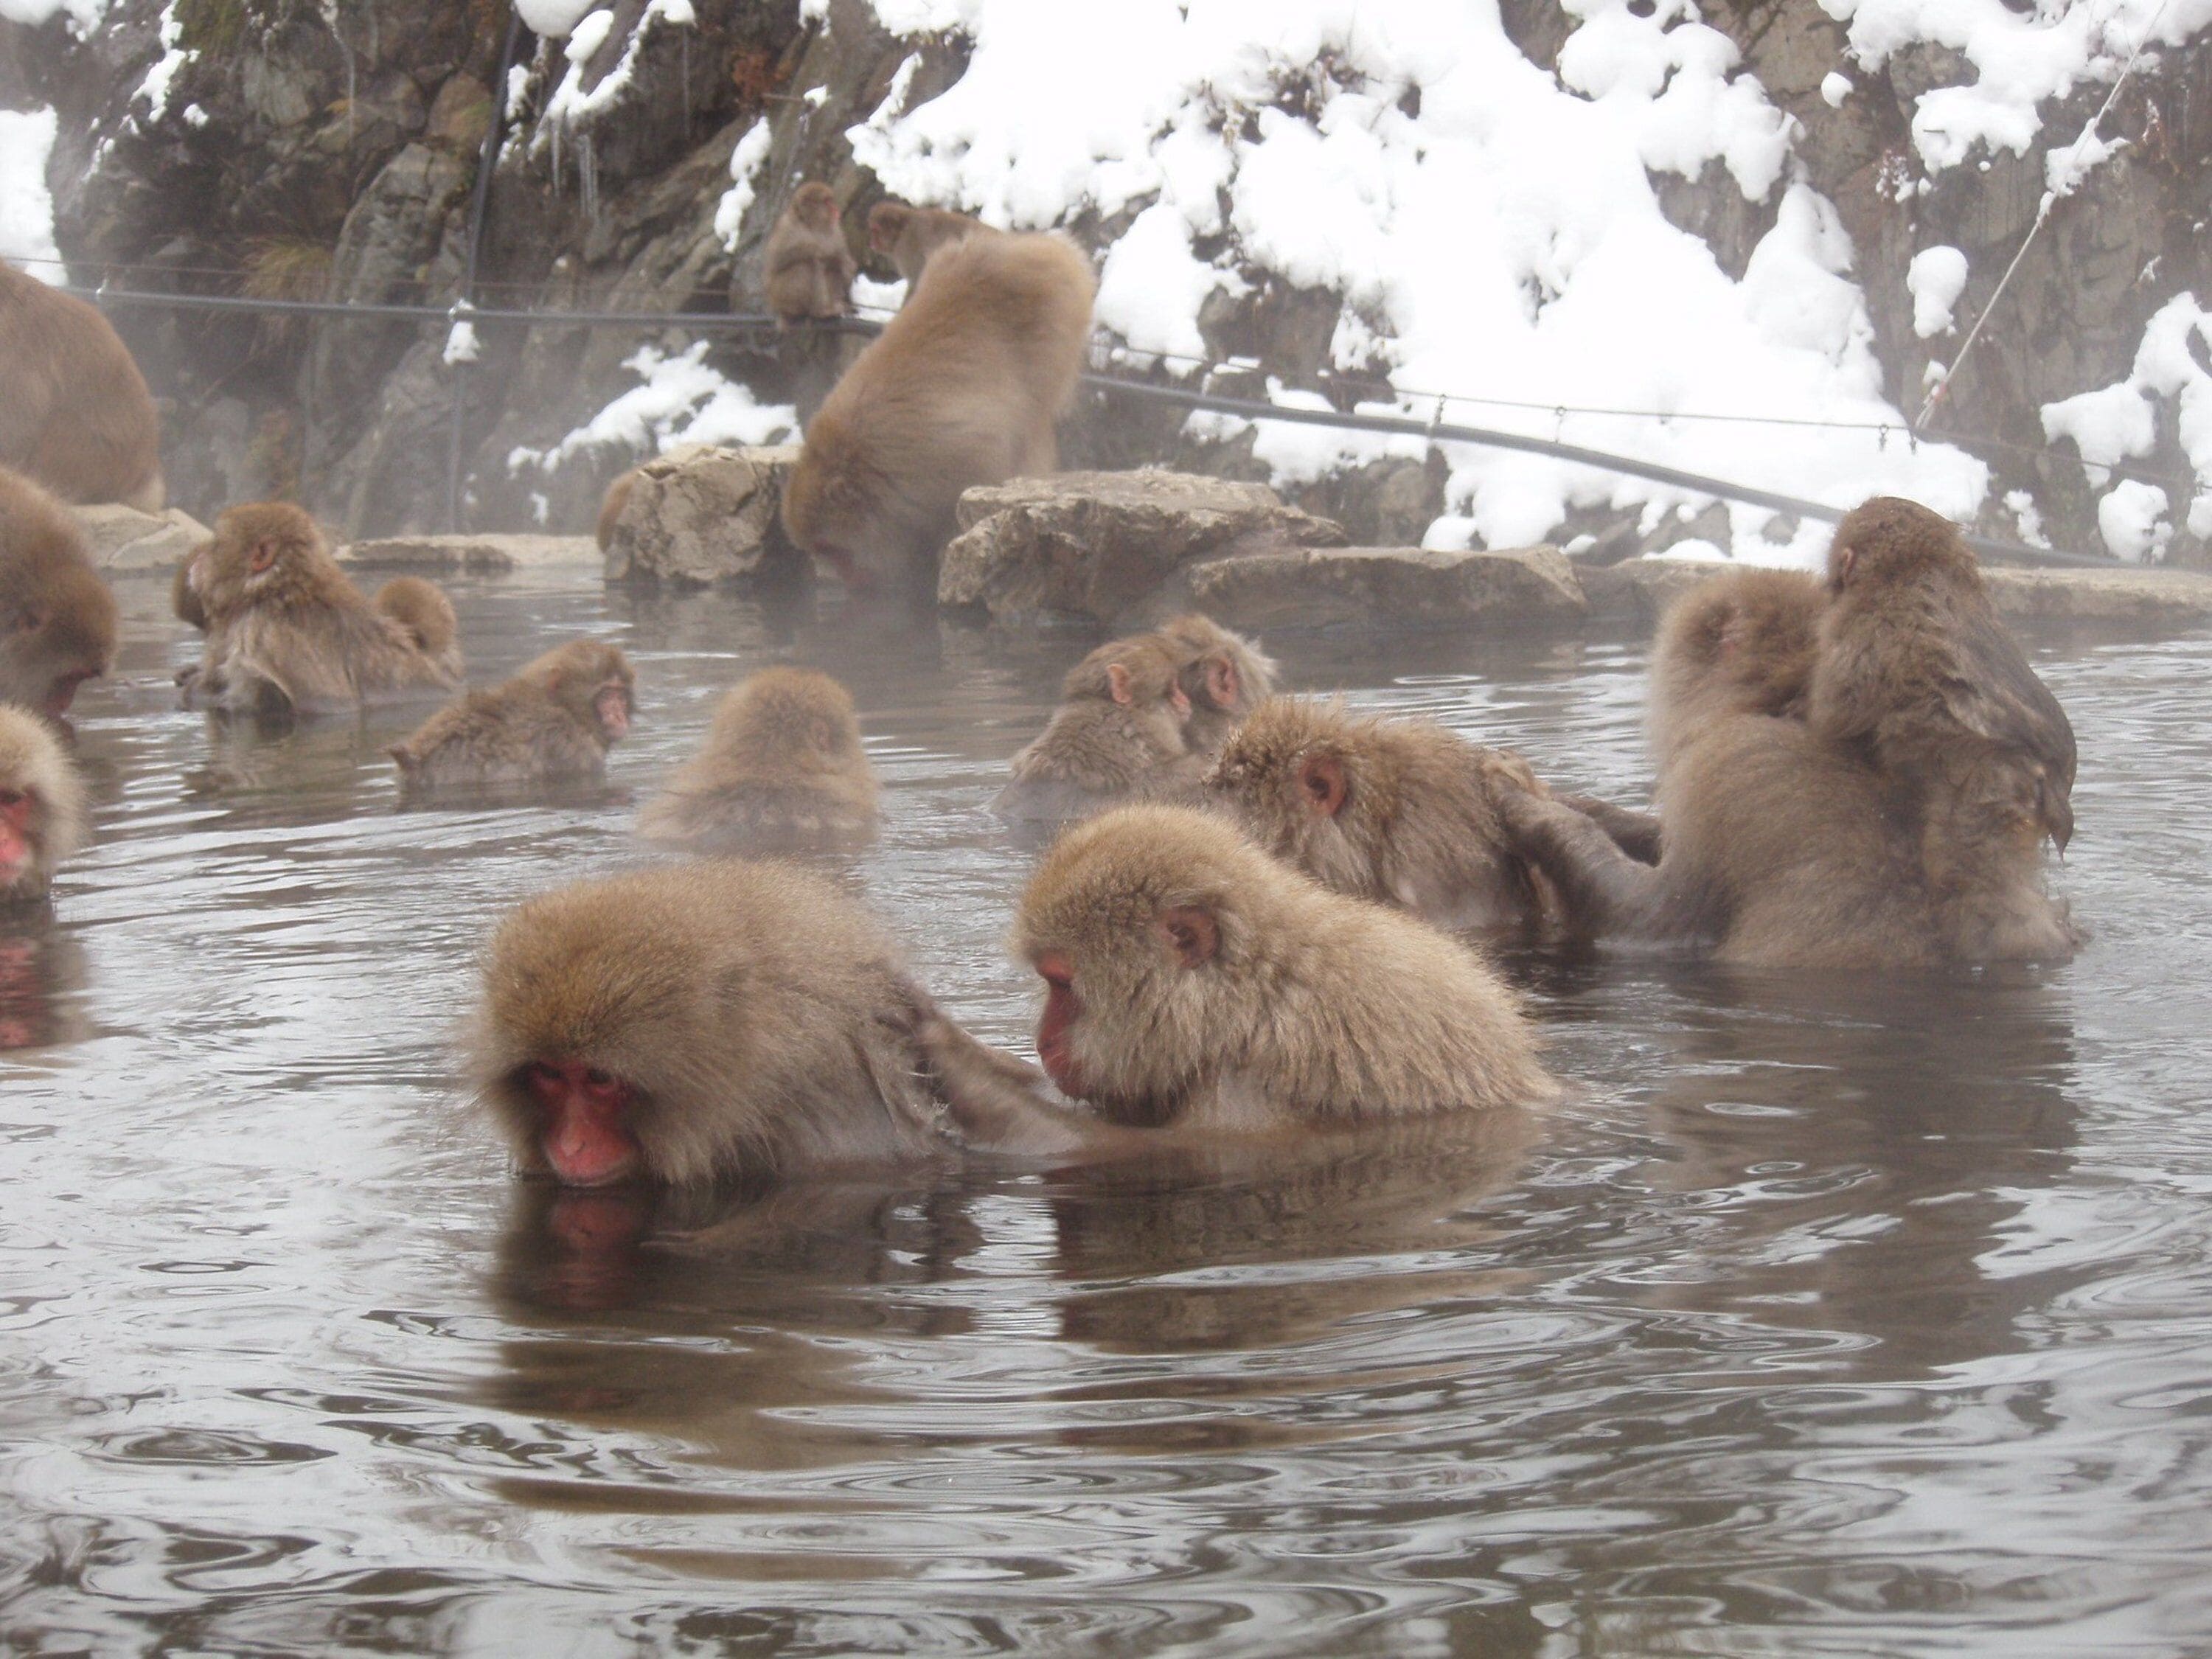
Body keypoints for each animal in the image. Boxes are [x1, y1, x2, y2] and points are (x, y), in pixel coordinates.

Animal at [391, 639, 635, 794]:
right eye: (606, 695)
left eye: (620, 694)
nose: (618, 715)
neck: (564, 708)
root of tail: (416, 761)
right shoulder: (574, 748)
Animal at [764, 182, 858, 326]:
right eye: (826, 201)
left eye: (831, 200)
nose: (835, 209)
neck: (812, 225)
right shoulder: (787, 228)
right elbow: (775, 262)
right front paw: (814, 249)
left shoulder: (836, 231)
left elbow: (842, 262)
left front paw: (847, 266)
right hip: (780, 297)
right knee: (806, 265)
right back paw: (816, 312)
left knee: (832, 269)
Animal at [781, 231, 1095, 593]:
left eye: (832, 549)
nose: (846, 577)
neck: (860, 461)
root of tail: (1040, 246)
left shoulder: (946, 457)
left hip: (1053, 340)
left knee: (1032, 423)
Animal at [865, 201, 992, 285]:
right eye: (872, 230)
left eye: (875, 230)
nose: (871, 242)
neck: (902, 230)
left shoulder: (906, 249)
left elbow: (916, 278)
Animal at [1807, 496, 2080, 962]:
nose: (1831, 582)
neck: (1914, 569)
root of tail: (2049, 780)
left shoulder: (1862, 637)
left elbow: (1834, 716)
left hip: (1987, 792)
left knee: (1973, 872)